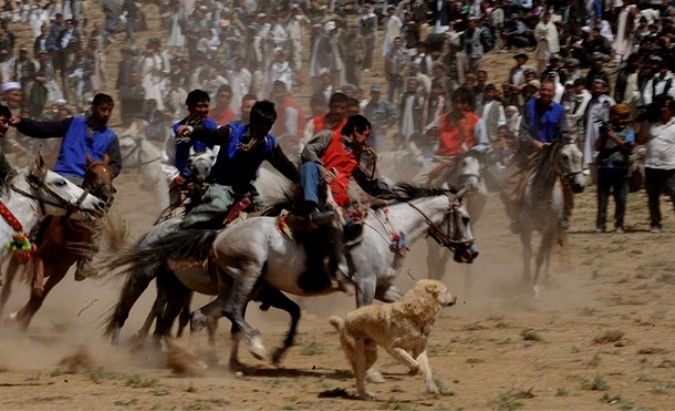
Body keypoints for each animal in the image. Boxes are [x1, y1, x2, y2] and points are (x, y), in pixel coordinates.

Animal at [0, 156, 116, 330]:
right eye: (92, 174)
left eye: (111, 175)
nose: (104, 200)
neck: (68, 236)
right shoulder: (39, 258)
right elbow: (37, 293)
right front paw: (15, 318)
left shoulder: (61, 271)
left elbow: (39, 298)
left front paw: (23, 323)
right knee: (8, 287)